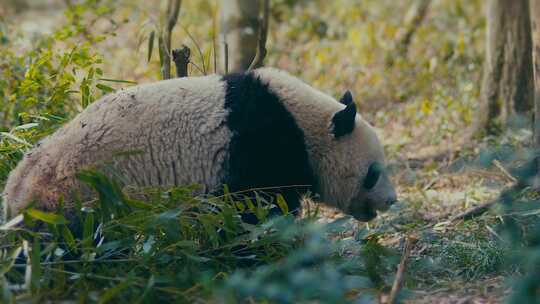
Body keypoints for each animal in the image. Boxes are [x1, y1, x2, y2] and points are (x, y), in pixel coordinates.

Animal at [0, 68, 396, 223]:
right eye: (373, 173)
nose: (392, 200)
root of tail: (14, 195)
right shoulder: (257, 150)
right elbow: (256, 210)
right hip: (79, 196)